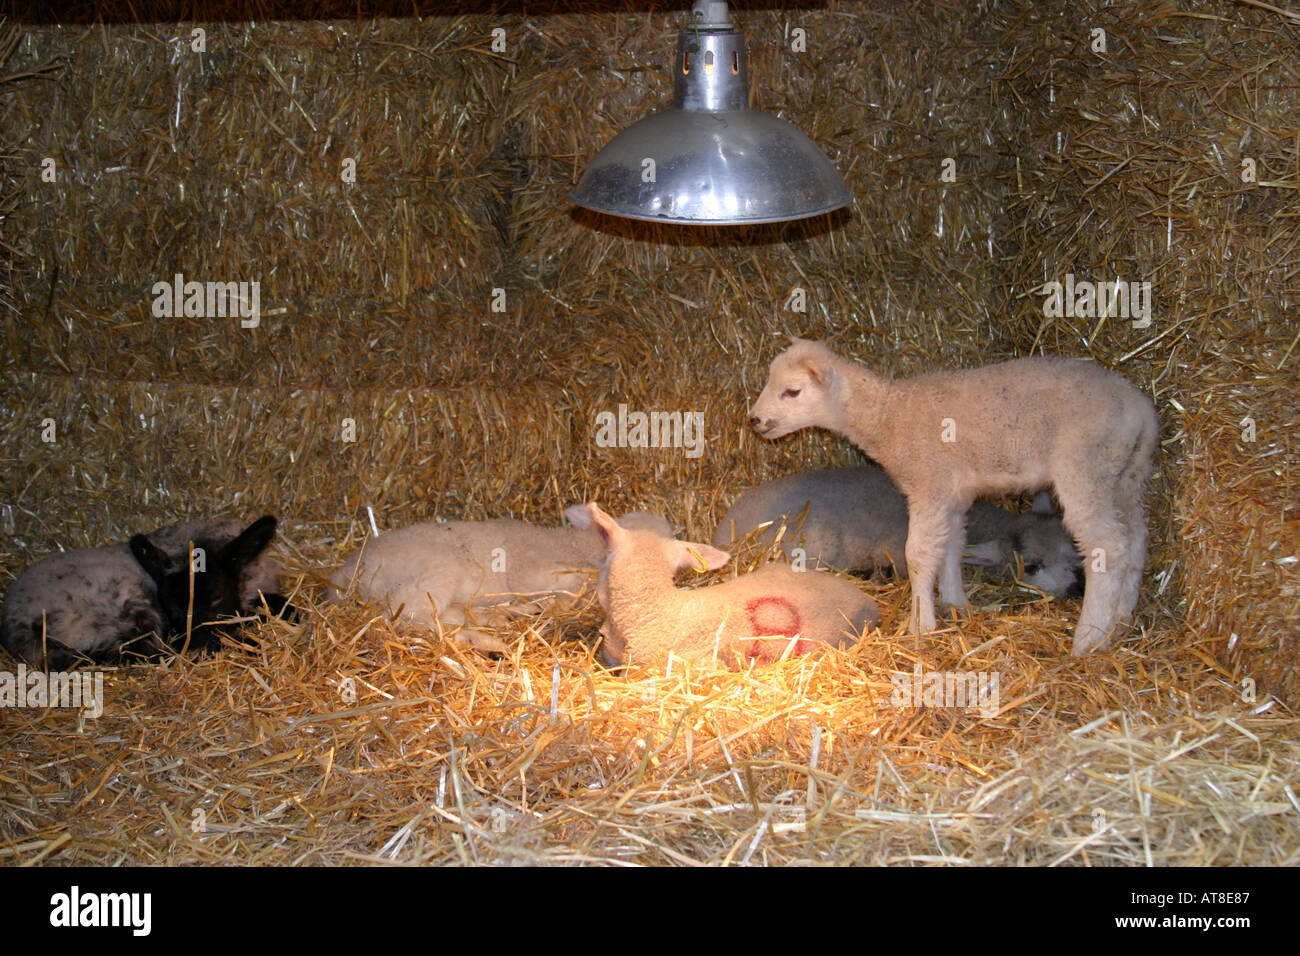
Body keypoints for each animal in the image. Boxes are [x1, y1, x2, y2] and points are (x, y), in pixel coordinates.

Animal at [1, 515, 292, 670]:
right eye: (169, 605)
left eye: (217, 597)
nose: (193, 647)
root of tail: (17, 629)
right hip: (122, 612)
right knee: (148, 652)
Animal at [327, 507, 672, 654]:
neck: (576, 547)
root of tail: (344, 573)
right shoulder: (535, 576)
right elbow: (557, 598)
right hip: (431, 574)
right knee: (412, 620)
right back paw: (486, 641)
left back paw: (494, 621)